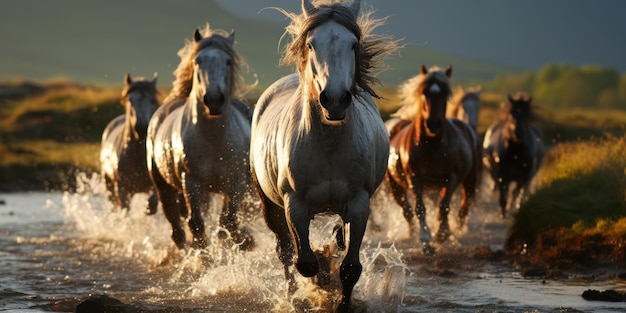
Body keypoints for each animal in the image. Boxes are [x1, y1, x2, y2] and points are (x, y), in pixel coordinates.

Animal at [99, 73, 158, 213]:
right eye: (131, 100)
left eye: (153, 101)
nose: (141, 128)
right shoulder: (123, 189)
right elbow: (124, 208)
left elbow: (153, 201)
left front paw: (148, 209)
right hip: (109, 185)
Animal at [146, 23, 254, 249]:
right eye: (198, 61)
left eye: (228, 61)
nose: (213, 100)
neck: (214, 141)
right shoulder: (191, 182)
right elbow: (196, 223)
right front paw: (203, 254)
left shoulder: (236, 183)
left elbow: (228, 222)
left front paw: (245, 242)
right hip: (164, 185)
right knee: (175, 222)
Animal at [249, 0, 394, 308]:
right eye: (312, 44)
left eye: (354, 44)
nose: (335, 99)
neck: (328, 143)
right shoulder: (294, 204)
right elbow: (304, 262)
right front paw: (322, 278)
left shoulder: (359, 203)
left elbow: (351, 267)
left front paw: (341, 300)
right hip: (270, 206)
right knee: (284, 251)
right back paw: (294, 294)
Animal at [382, 65, 480, 254]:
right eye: (424, 92)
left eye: (445, 93)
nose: (433, 124)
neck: (431, 147)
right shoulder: (414, 178)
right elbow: (420, 208)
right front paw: (426, 240)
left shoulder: (450, 178)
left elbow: (444, 206)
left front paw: (442, 234)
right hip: (395, 186)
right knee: (406, 210)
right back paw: (413, 233)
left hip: (469, 181)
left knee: (463, 207)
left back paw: (453, 230)